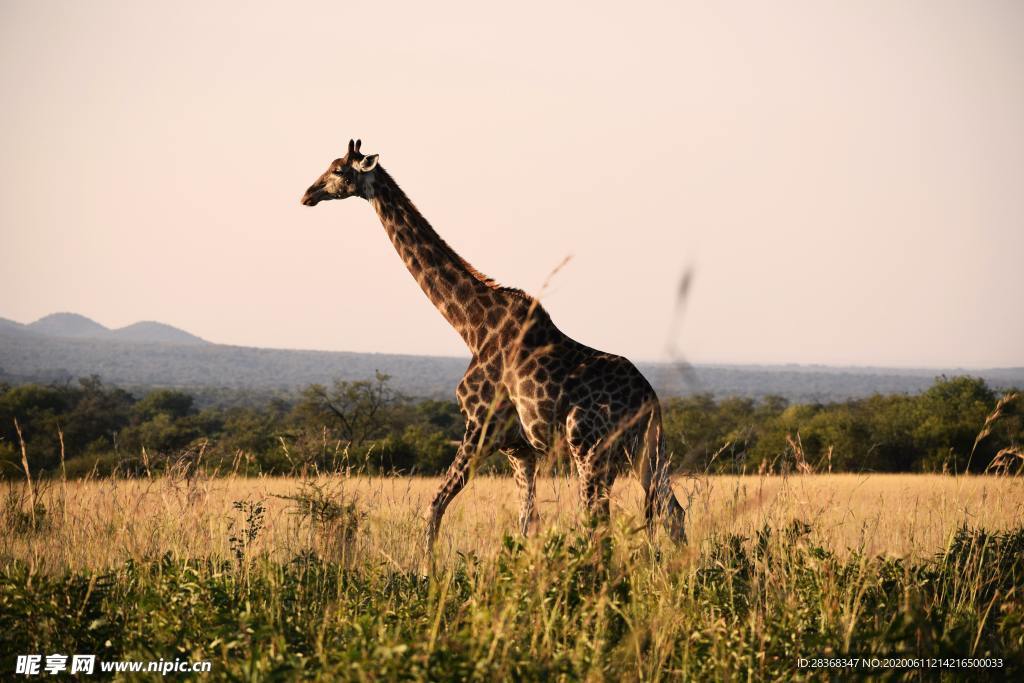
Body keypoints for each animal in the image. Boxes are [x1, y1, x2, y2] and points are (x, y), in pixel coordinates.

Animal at [303, 140, 688, 557]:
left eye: (339, 170)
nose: (308, 194)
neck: (472, 326)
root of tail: (649, 399)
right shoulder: (520, 449)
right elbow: (526, 525)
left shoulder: (478, 426)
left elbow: (434, 507)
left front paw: (426, 568)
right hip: (646, 452)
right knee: (672, 512)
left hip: (591, 451)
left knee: (600, 526)